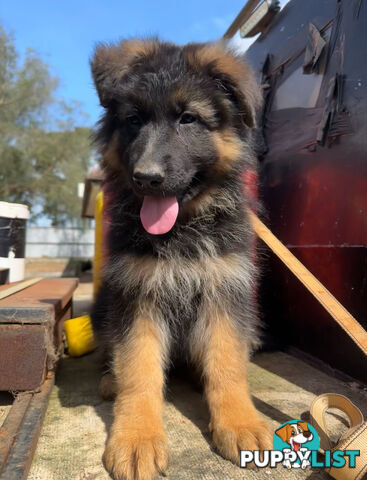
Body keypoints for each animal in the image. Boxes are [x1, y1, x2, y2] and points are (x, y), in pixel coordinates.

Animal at [90, 38, 272, 480]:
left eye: (189, 119)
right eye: (134, 119)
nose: (146, 178)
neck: (183, 229)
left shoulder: (225, 290)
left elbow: (227, 364)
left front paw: (240, 422)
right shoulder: (136, 294)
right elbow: (138, 368)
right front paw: (136, 437)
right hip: (103, 304)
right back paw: (109, 380)